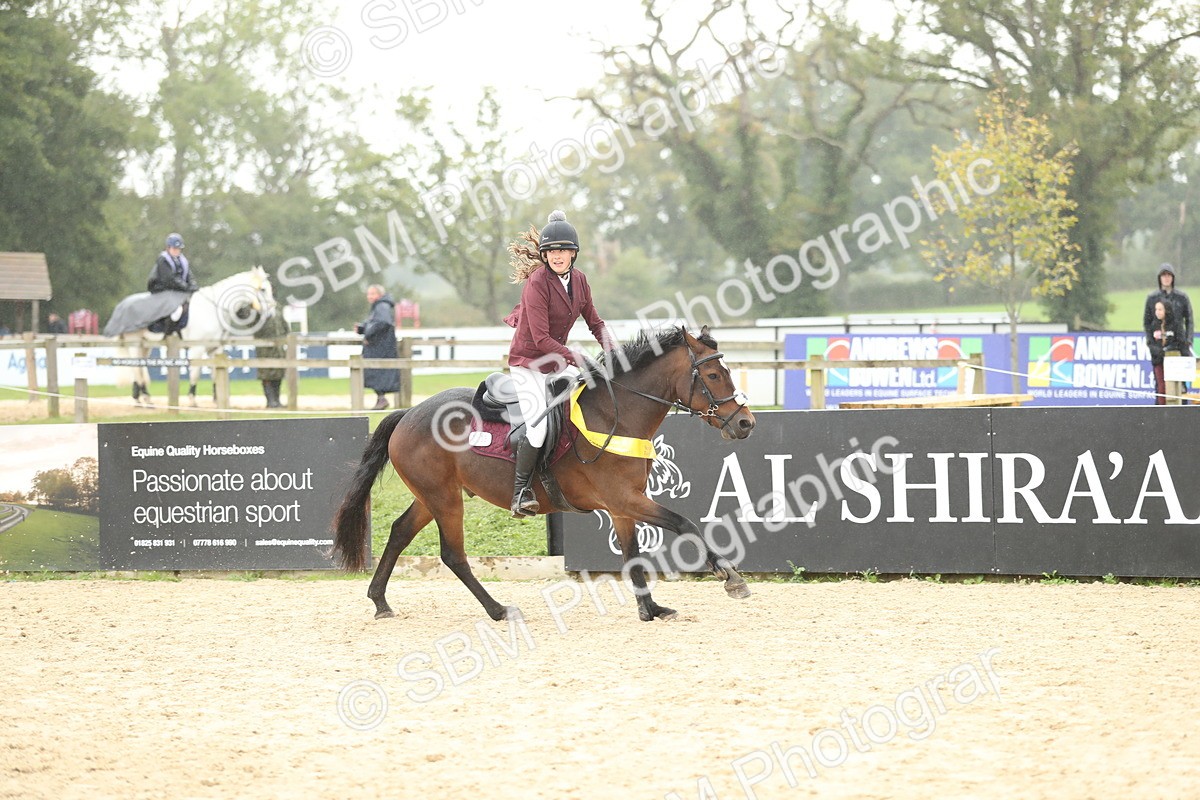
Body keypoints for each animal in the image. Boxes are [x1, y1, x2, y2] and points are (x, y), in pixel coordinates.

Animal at [106, 267, 275, 405]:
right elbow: (195, 373)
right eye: (263, 289)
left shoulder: (215, 349)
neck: (214, 309)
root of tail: (122, 305)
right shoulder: (197, 349)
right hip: (134, 343)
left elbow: (216, 374)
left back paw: (139, 398)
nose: (271, 314)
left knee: (140, 368)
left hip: (145, 345)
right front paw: (192, 399)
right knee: (136, 368)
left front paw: (218, 400)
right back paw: (145, 397)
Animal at [331, 325, 757, 623]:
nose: (746, 424)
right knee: (453, 554)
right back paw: (498, 610)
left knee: (400, 532)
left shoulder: (624, 506)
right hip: (444, 499)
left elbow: (633, 556)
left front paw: (650, 609)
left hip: (432, 496)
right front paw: (730, 577)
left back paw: (380, 601)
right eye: (715, 375)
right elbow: (686, 523)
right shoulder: (625, 499)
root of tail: (409, 413)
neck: (617, 414)